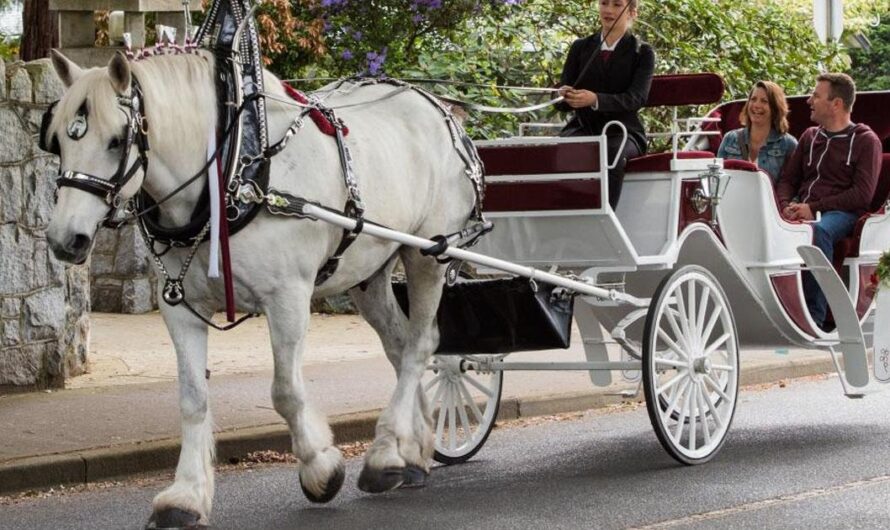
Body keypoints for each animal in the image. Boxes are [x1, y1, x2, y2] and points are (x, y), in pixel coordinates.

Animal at [46, 48, 478, 524]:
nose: (65, 240)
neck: (231, 173)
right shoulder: (180, 308)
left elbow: (285, 392)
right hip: (370, 271)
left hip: (429, 254)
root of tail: (439, 108)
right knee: (401, 348)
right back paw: (411, 452)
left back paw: (384, 455)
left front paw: (320, 468)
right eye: (59, 141)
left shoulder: (288, 298)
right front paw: (186, 495)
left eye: (116, 140)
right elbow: (193, 399)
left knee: (422, 344)